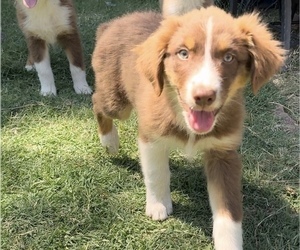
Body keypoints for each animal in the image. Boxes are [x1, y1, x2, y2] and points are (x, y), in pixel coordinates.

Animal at [91, 6, 286, 250]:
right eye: (183, 53)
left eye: (229, 57)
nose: (203, 96)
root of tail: (113, 23)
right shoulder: (151, 136)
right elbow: (157, 172)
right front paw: (158, 205)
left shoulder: (224, 152)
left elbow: (228, 206)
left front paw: (229, 243)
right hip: (117, 102)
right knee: (97, 101)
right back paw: (109, 141)